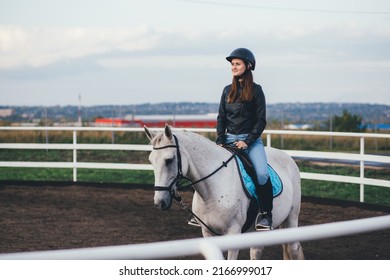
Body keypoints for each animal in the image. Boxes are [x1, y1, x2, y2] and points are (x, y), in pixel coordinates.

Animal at [144, 124, 304, 260]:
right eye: (151, 160)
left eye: (169, 160)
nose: (159, 202)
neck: (213, 189)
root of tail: (287, 157)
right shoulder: (208, 232)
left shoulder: (233, 232)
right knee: (256, 252)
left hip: (292, 216)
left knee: (293, 248)